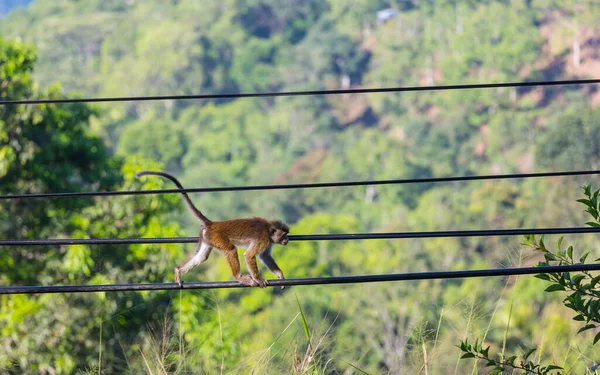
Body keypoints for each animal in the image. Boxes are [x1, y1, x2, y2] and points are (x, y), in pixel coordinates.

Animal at [135, 172, 290, 290]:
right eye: (284, 234)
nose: (287, 240)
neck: (269, 229)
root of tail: (213, 224)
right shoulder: (263, 238)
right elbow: (249, 255)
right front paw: (258, 278)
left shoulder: (268, 241)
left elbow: (265, 256)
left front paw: (280, 275)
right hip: (217, 236)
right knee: (230, 250)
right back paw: (239, 277)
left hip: (208, 237)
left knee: (201, 257)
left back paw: (179, 271)